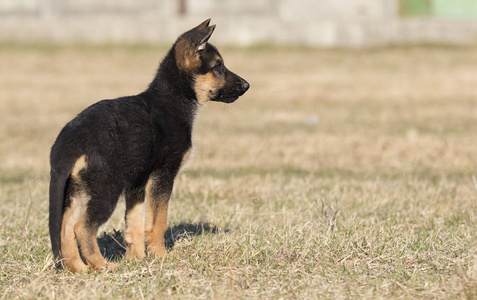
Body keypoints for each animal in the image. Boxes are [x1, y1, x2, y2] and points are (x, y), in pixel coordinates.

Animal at [48, 17, 249, 274]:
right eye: (218, 66)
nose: (247, 85)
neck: (172, 99)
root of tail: (68, 144)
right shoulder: (163, 175)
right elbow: (158, 221)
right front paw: (160, 255)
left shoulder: (137, 183)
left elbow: (134, 223)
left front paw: (137, 258)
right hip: (106, 189)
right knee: (81, 228)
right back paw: (102, 266)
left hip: (78, 190)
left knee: (65, 227)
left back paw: (79, 269)